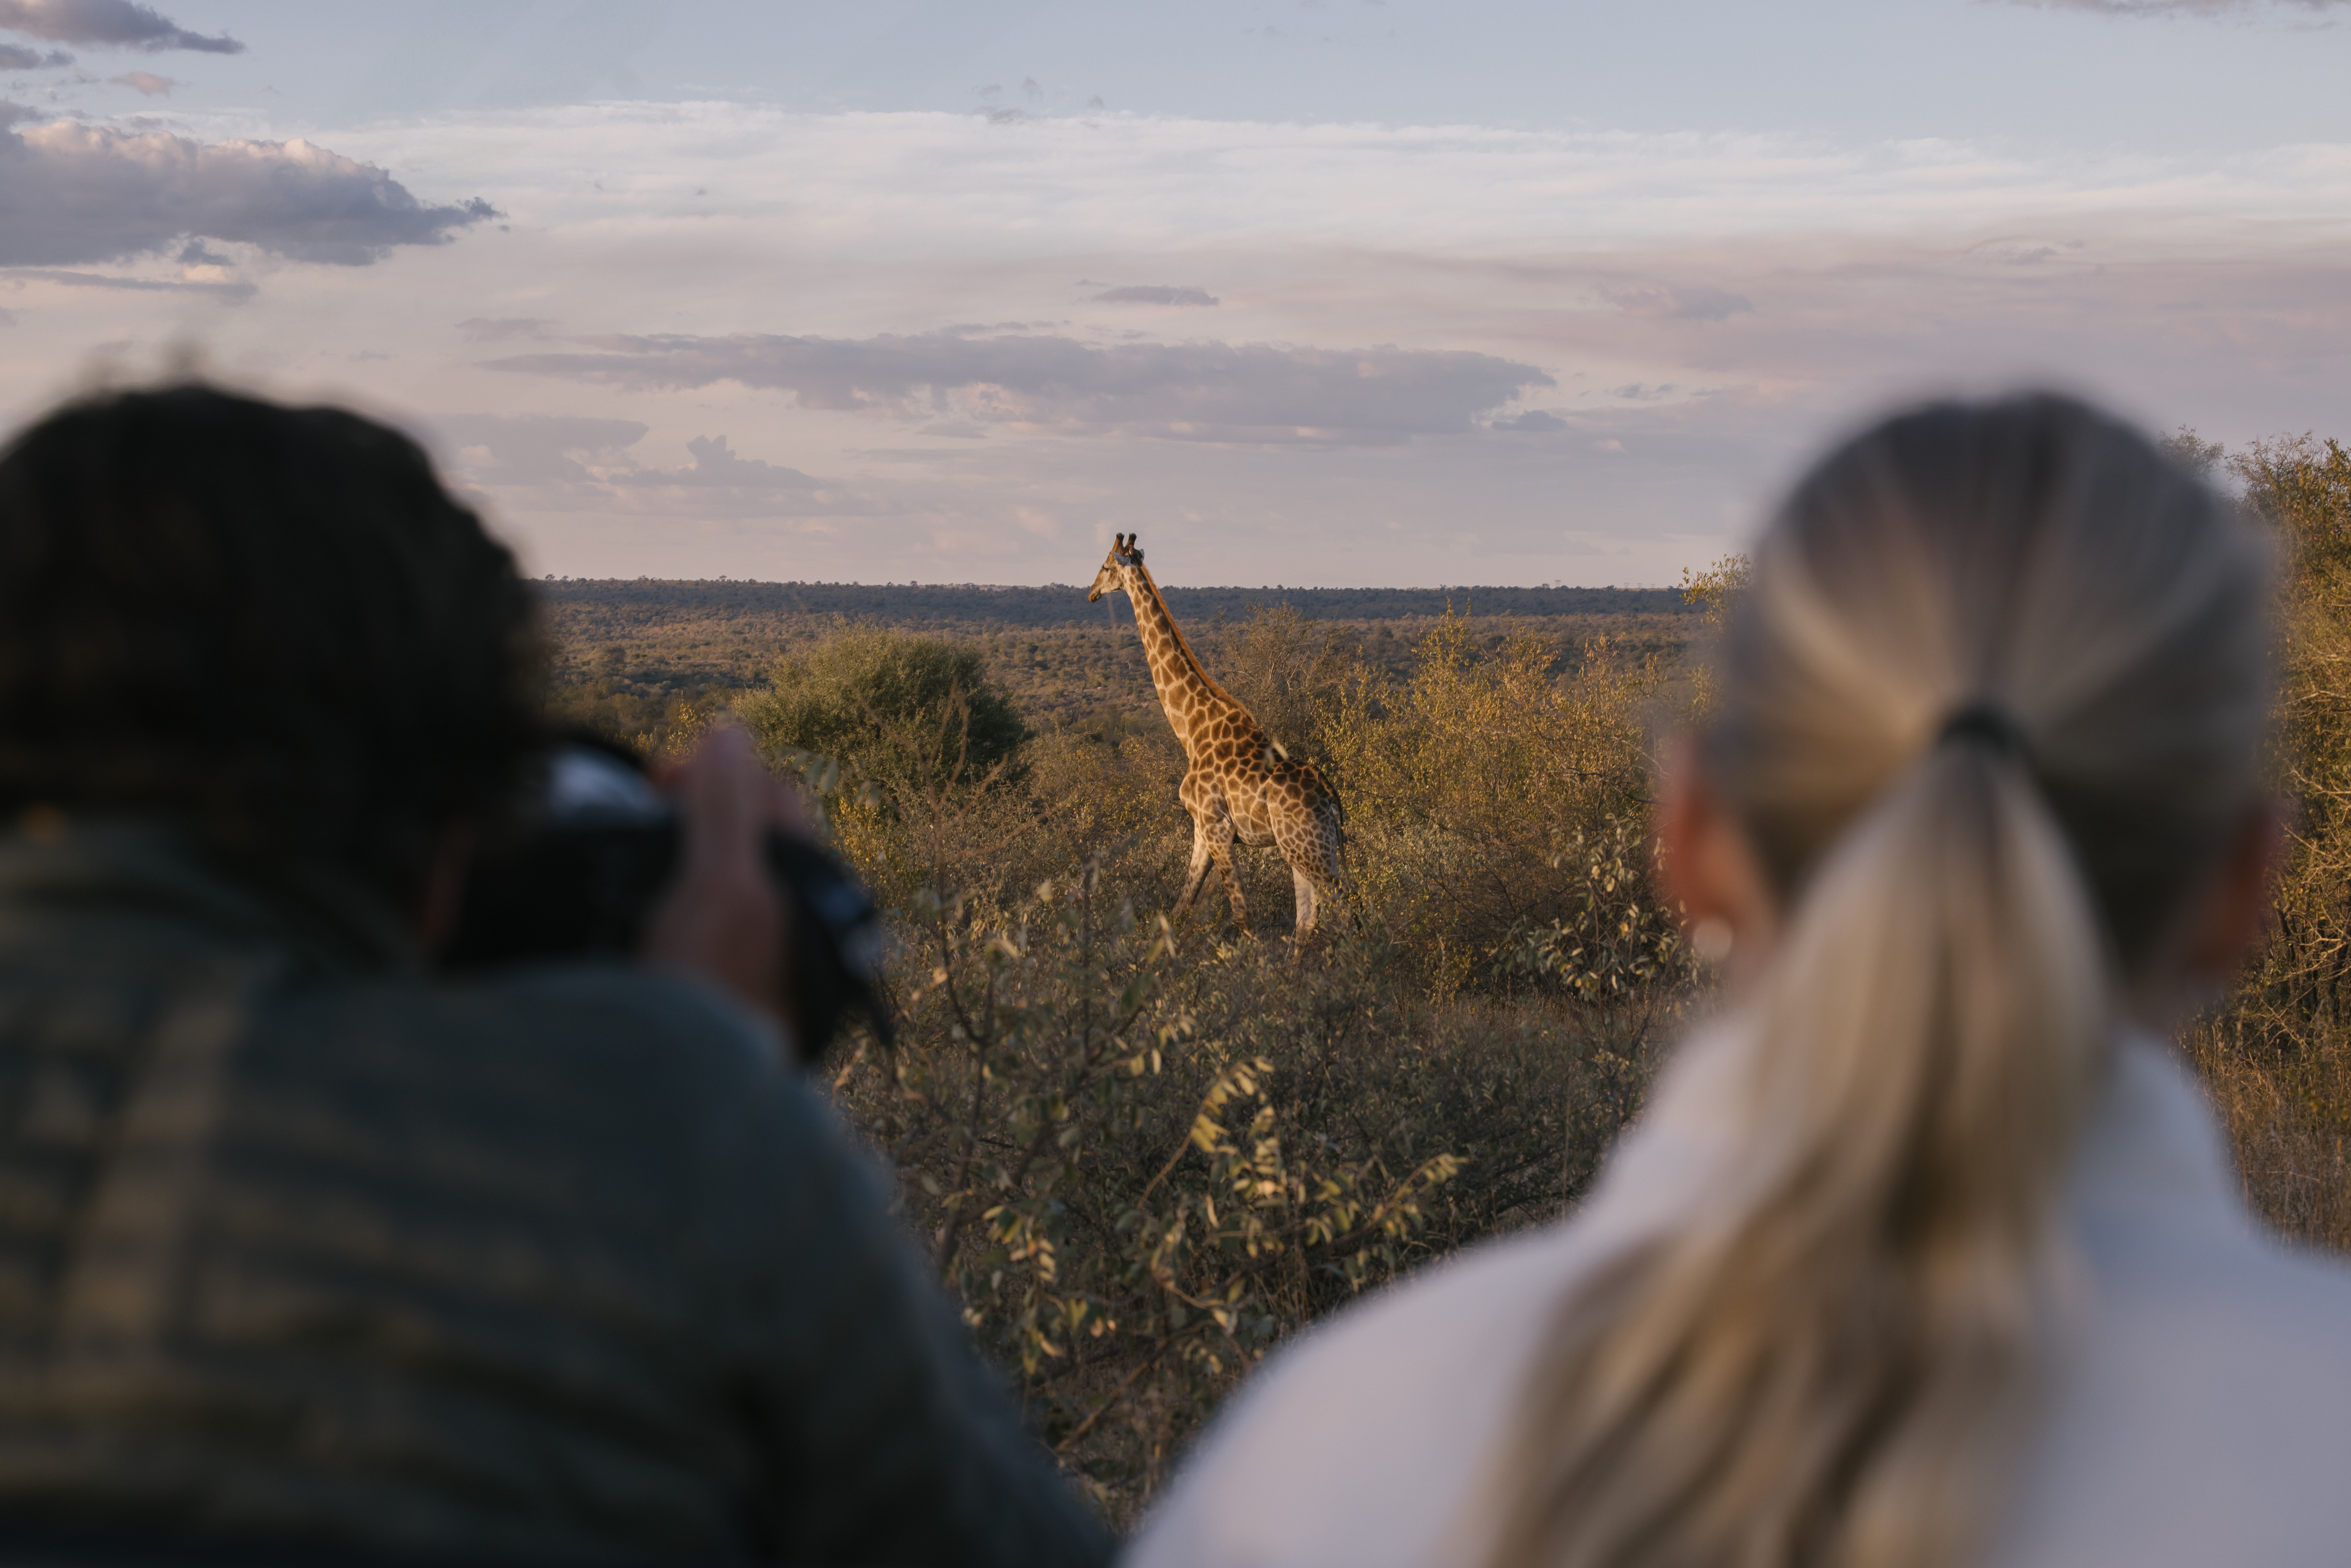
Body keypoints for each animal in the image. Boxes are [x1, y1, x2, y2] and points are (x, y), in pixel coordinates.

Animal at [1088, 532, 1348, 939]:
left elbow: (1244, 917)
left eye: (1104, 565)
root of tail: (1331, 799)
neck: (1192, 730)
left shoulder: (1217, 828)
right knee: (1307, 919)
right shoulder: (1200, 830)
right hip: (1303, 849)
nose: (1091, 593)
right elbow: (1180, 907)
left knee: (1347, 915)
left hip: (1309, 850)